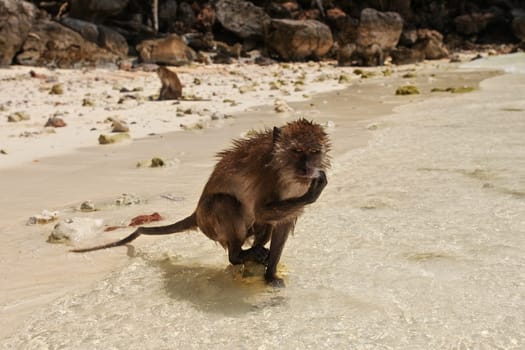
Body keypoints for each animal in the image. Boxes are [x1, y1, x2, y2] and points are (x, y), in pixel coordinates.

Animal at [71, 119, 330, 286]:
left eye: (314, 152)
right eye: (297, 151)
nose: (306, 169)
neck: (284, 170)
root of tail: (196, 213)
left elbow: (281, 224)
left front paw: (271, 274)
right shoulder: (267, 176)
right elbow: (260, 211)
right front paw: (313, 193)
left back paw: (255, 251)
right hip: (210, 222)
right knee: (226, 203)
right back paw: (239, 255)